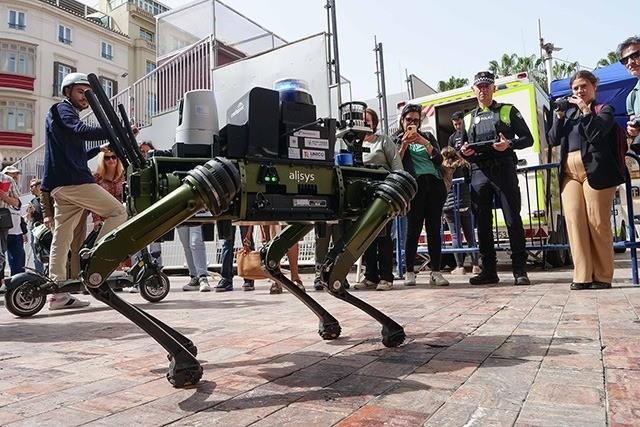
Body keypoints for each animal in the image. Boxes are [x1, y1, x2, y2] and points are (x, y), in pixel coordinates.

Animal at [80, 73, 418, 388]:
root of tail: (139, 172)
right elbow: (332, 276)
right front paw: (391, 329)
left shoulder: (314, 211)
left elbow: (279, 261)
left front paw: (336, 323)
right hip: (204, 189)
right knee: (96, 266)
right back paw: (184, 360)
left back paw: (184, 346)